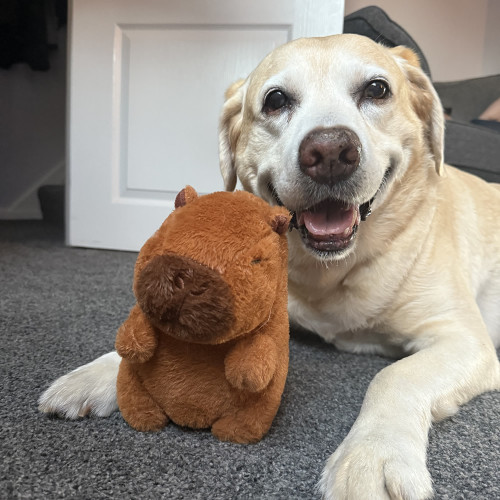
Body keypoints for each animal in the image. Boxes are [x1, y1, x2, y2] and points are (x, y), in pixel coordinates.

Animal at [39, 34, 500, 499]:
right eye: (275, 100)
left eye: (377, 90)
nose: (330, 152)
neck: (333, 268)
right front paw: (99, 373)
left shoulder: (464, 340)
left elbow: (394, 375)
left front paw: (372, 455)